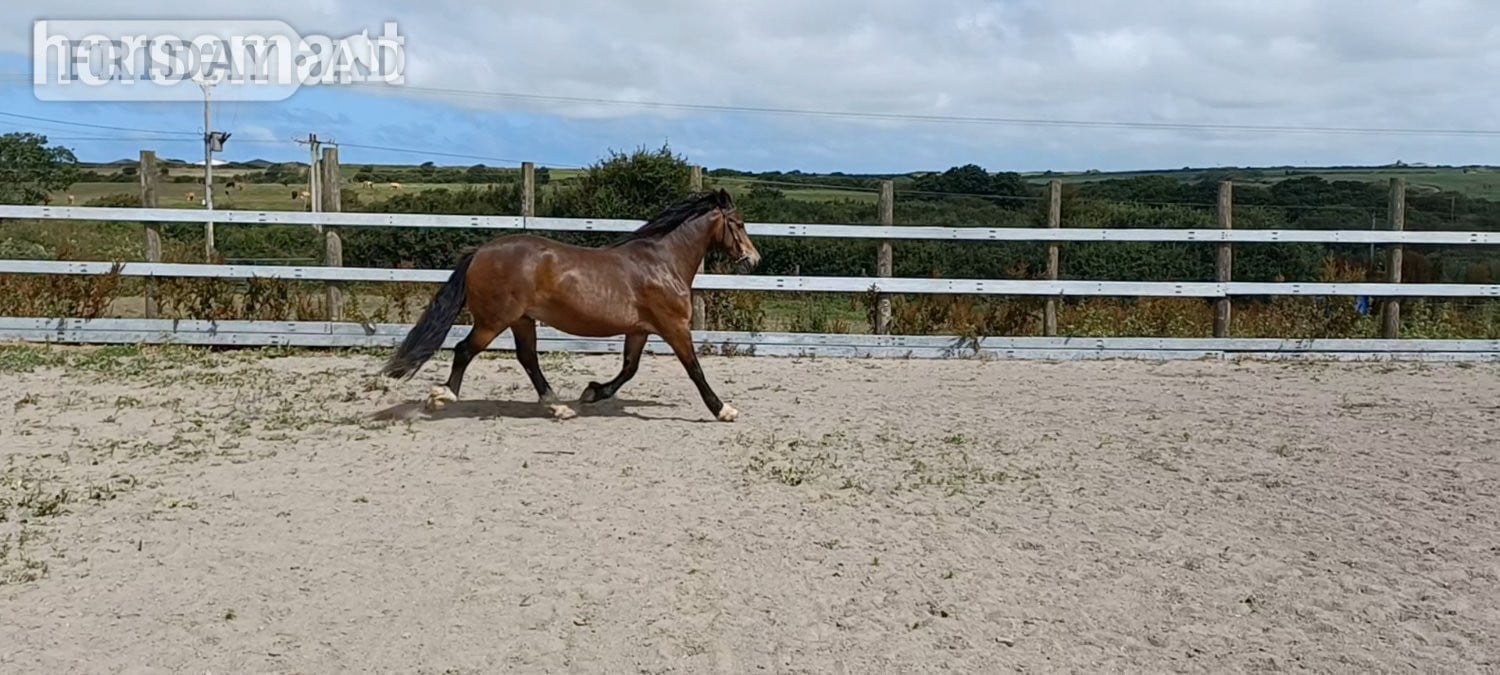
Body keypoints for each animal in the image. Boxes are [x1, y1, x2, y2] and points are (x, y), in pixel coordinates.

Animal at [379, 188, 761, 422]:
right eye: (740, 223)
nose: (753, 260)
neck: (662, 262)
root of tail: (481, 252)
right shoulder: (674, 327)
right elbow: (694, 369)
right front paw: (723, 410)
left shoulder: (639, 330)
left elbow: (629, 368)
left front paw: (592, 392)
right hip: (494, 320)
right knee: (464, 350)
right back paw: (441, 397)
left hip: (521, 320)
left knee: (528, 359)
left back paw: (559, 407)